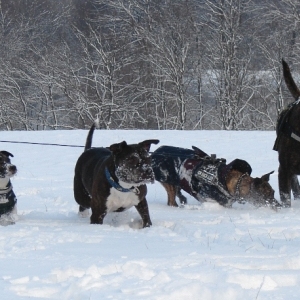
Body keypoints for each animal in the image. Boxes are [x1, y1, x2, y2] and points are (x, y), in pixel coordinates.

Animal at [152, 145, 282, 210]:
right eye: (266, 195)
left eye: (274, 192)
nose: (280, 206)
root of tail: (156, 151)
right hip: (168, 182)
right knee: (171, 200)